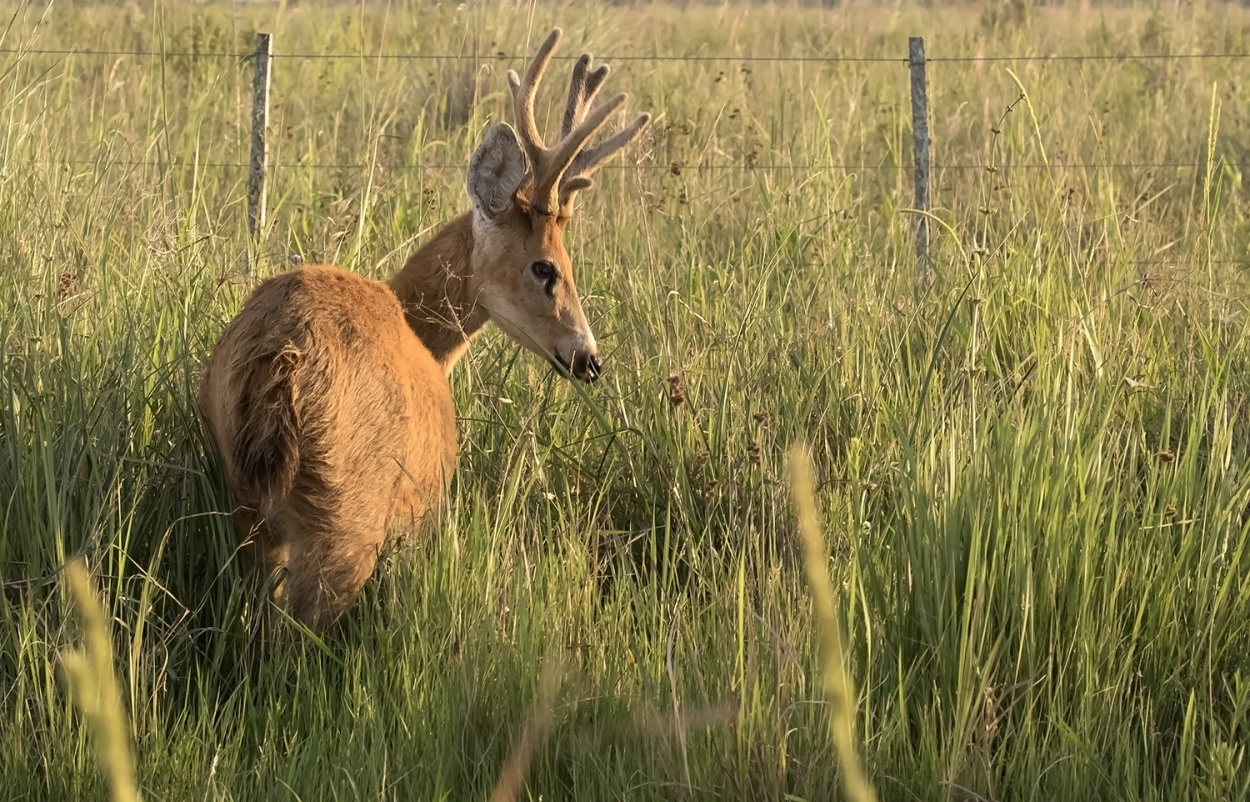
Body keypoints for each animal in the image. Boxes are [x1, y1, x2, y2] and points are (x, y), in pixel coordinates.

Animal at [200, 29, 650, 629]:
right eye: (546, 268)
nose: (590, 359)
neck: (423, 338)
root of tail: (281, 361)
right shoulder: (424, 499)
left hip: (242, 495)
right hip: (348, 514)